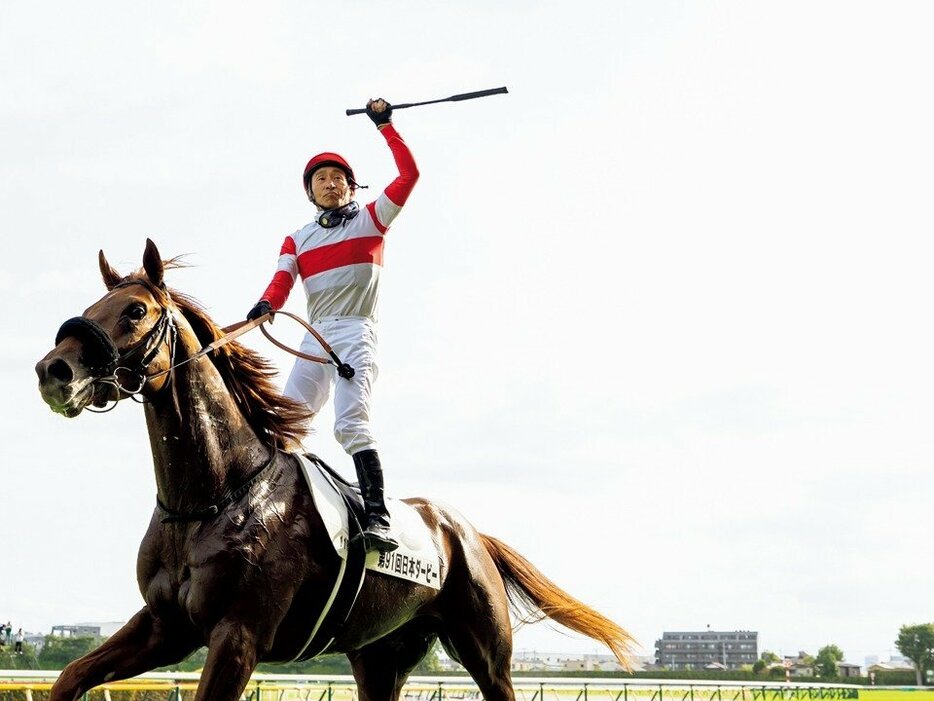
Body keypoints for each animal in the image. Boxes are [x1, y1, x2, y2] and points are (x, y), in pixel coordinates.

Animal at [36, 241, 636, 700]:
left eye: (135, 311)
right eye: (93, 304)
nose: (53, 370)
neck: (213, 497)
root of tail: (467, 532)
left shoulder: (237, 635)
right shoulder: (166, 626)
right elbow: (69, 677)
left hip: (486, 653)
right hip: (379, 656)